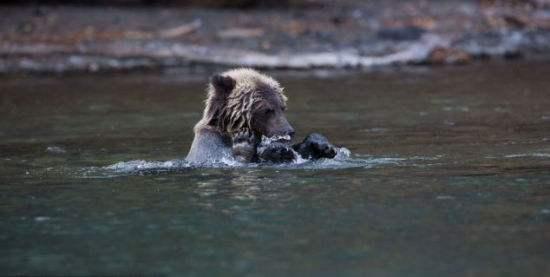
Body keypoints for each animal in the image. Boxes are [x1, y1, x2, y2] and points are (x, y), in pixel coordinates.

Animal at [188, 68, 338, 163]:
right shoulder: (211, 147)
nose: (288, 131)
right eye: (267, 110)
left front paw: (321, 145)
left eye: (282, 107)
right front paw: (244, 143)